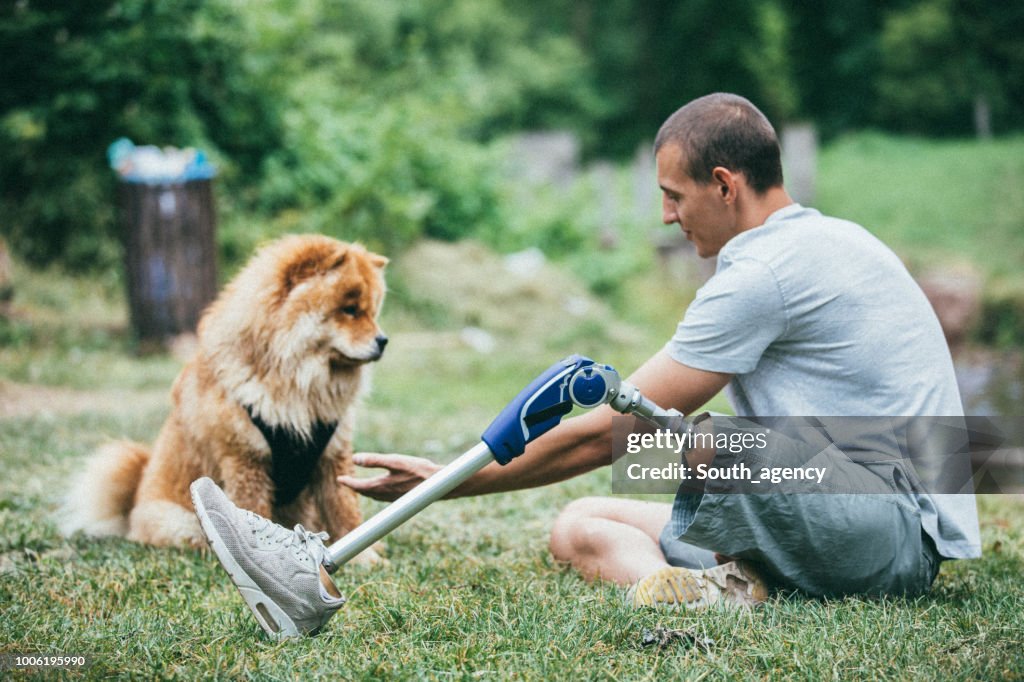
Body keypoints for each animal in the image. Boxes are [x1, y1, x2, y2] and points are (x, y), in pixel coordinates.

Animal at [61, 232, 387, 552]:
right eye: (349, 310)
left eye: (373, 312)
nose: (383, 340)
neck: (298, 385)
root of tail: (132, 507)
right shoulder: (245, 459)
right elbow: (254, 509)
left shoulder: (332, 456)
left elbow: (345, 513)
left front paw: (366, 559)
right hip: (184, 520)